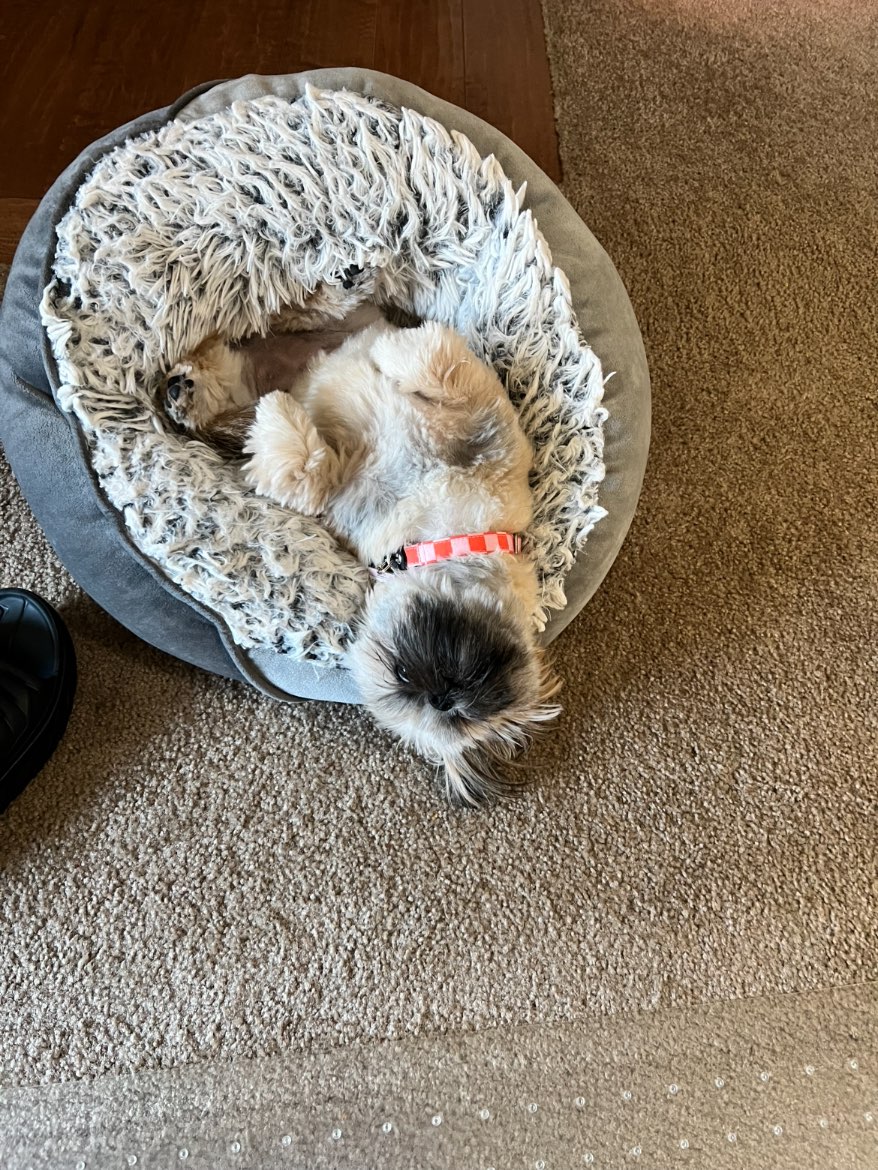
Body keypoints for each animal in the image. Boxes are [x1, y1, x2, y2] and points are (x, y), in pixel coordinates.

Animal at [163, 306, 561, 804]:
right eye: (406, 674)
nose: (442, 694)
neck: (441, 533)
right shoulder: (492, 432)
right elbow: (440, 365)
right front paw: (396, 353)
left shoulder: (333, 491)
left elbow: (307, 471)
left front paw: (279, 412)